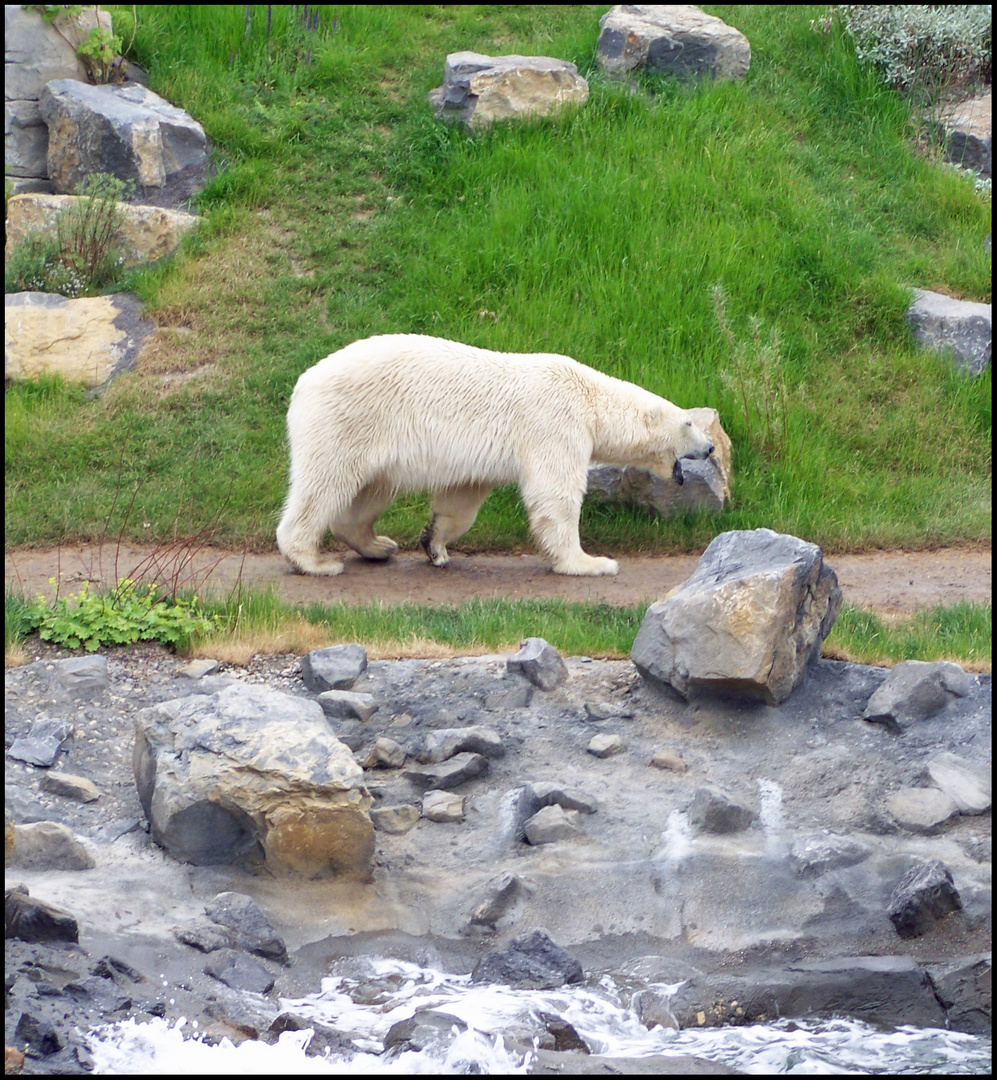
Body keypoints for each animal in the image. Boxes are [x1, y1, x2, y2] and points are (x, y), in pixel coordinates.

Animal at [278, 334, 717, 574]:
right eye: (689, 423)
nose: (711, 447)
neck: (590, 397)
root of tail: (303, 383)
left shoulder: (480, 464)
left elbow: (461, 500)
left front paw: (435, 544)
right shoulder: (555, 425)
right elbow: (555, 495)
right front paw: (590, 563)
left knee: (371, 490)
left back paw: (379, 545)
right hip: (349, 421)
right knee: (326, 483)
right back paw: (313, 561)